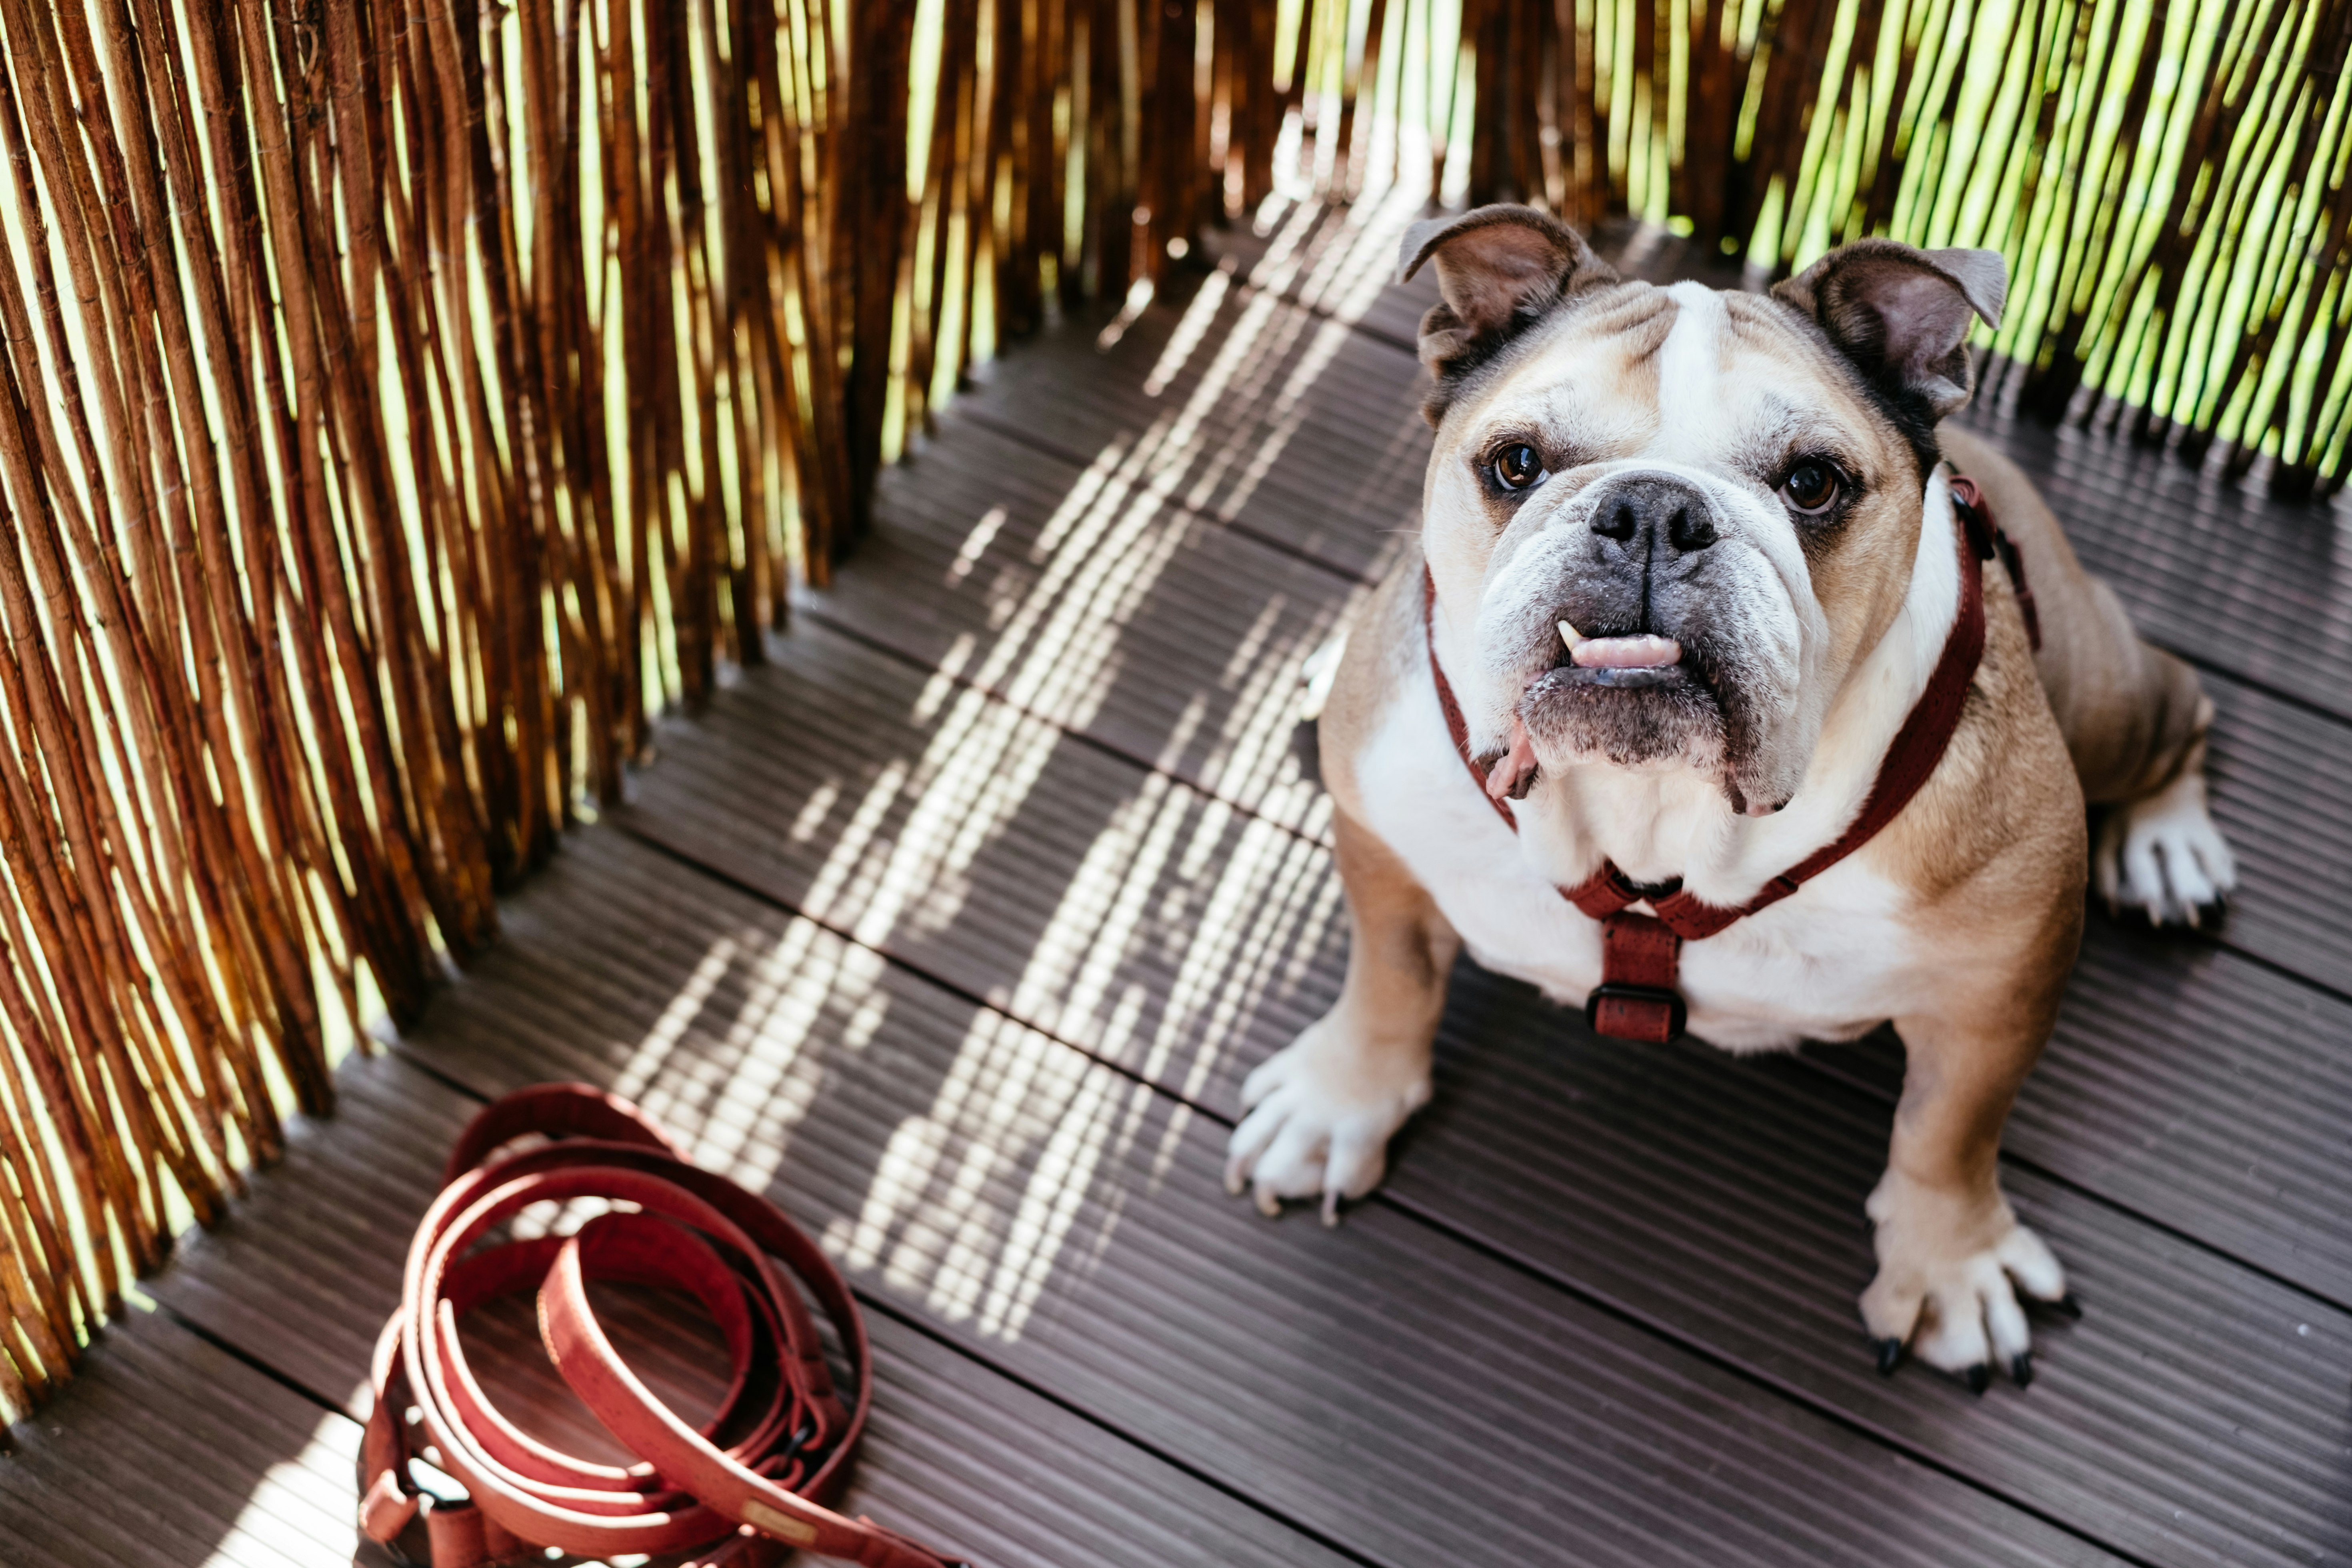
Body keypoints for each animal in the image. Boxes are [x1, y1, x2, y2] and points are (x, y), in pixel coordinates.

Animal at [1232, 206, 2239, 1382]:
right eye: (1517, 464)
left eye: (1813, 485)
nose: (1652, 509)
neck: (1649, 801)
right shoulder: (1386, 841)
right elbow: (1388, 982)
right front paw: (1338, 1105)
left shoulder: (1999, 986)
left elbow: (1948, 1134)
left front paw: (1949, 1264)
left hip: (2108, 696)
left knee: (2183, 704)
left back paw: (2168, 846)